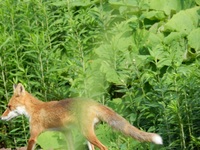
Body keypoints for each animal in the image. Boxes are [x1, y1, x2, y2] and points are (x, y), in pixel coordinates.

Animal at [0, 84, 162, 149]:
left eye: (8, 106)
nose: (1, 118)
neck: (34, 110)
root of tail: (93, 102)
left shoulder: (34, 135)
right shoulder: (66, 132)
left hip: (87, 134)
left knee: (105, 148)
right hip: (87, 137)